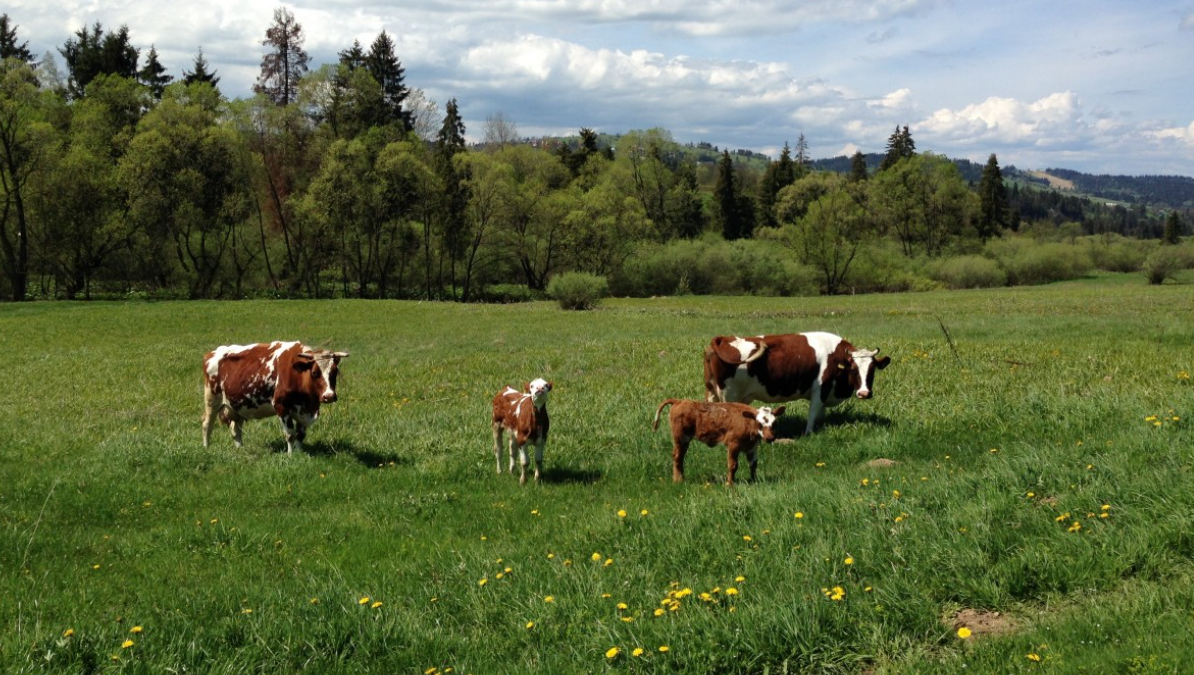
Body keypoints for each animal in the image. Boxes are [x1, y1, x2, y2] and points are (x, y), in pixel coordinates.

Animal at [202, 342, 348, 453]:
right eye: (314, 373)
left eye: (335, 371)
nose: (329, 396)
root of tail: (211, 353)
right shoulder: (281, 406)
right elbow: (290, 434)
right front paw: (291, 456)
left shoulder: (303, 410)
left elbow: (300, 435)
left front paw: (300, 453)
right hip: (212, 399)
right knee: (207, 424)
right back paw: (206, 448)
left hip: (238, 405)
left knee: (235, 429)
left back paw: (240, 449)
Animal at [653, 399, 785, 486]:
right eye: (759, 423)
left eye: (774, 423)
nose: (769, 438)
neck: (748, 423)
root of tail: (679, 401)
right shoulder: (733, 444)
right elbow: (733, 465)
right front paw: (730, 484)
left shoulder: (752, 448)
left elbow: (753, 465)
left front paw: (754, 481)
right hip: (681, 437)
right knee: (677, 457)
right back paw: (679, 480)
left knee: (679, 457)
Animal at [704, 332, 889, 435]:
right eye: (853, 369)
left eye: (872, 369)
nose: (864, 393)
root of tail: (722, 339)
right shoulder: (820, 390)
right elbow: (813, 414)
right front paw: (808, 434)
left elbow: (820, 415)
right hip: (729, 395)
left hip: (712, 392)